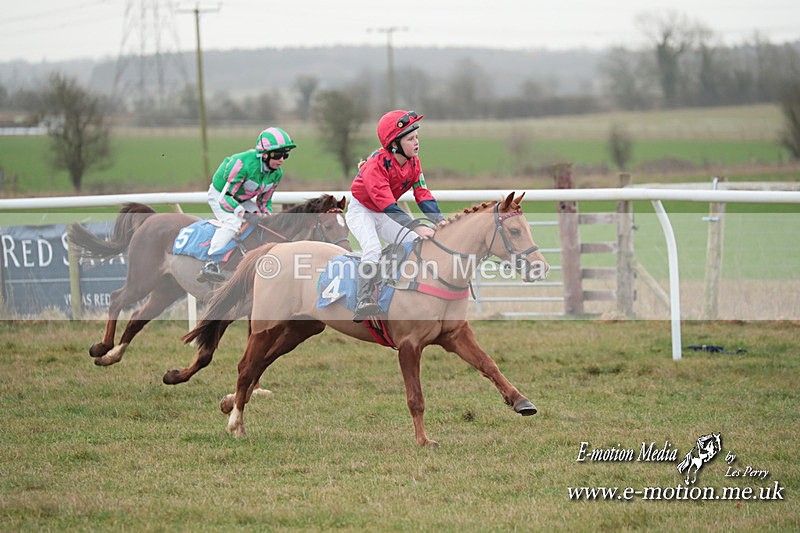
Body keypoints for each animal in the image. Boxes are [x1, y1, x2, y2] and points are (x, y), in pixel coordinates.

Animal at [67, 194, 350, 369]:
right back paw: (102, 347)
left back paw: (112, 355)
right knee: (117, 299)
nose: (344, 254)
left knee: (138, 316)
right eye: (328, 226)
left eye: (346, 226)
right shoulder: (233, 304)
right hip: (142, 278)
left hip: (167, 288)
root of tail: (152, 218)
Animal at [183, 192, 550, 446]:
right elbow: (416, 397)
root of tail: (272, 249)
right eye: (515, 230)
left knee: (260, 364)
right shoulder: (409, 345)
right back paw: (236, 423)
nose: (540, 267)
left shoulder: (455, 335)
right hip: (266, 326)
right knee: (247, 366)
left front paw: (521, 401)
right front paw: (423, 440)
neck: (437, 271)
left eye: (527, 228)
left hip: (299, 329)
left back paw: (230, 404)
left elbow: (489, 365)